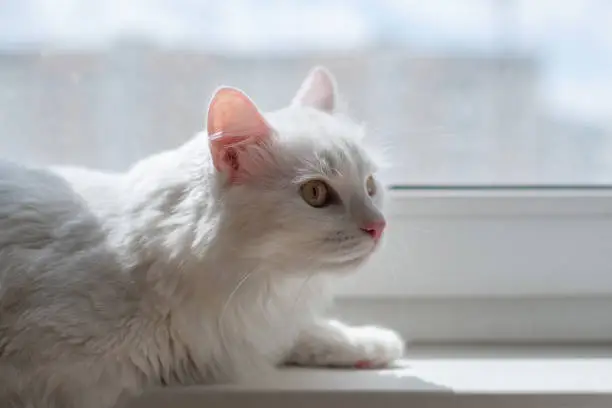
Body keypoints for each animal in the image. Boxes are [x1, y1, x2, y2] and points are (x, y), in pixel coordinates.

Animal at [0, 67, 404, 408]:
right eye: (316, 193)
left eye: (370, 186)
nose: (379, 225)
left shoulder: (248, 332)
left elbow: (305, 333)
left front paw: (374, 344)